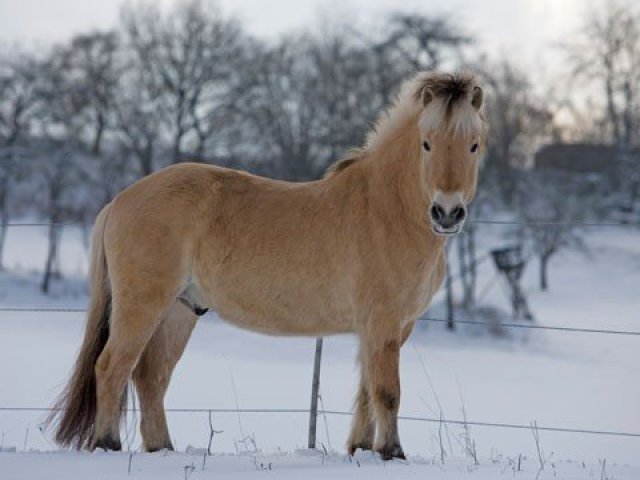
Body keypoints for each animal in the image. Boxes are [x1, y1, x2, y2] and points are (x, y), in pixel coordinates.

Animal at [48, 69, 484, 460]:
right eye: (426, 144)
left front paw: (362, 449)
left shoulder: (391, 327)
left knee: (150, 377)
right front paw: (392, 452)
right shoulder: (382, 321)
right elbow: (387, 391)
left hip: (179, 310)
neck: (386, 209)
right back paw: (108, 445)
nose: (447, 213)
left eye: (474, 145)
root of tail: (121, 200)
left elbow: (367, 390)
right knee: (112, 367)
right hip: (142, 305)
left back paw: (162, 449)